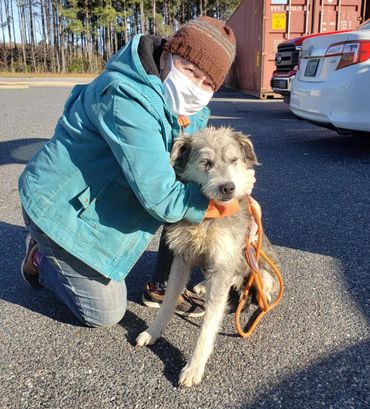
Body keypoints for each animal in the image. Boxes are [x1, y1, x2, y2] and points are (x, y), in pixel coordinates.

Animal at [137, 126, 278, 386]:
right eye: (206, 162)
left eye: (233, 160)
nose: (228, 187)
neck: (208, 217)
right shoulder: (182, 259)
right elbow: (168, 302)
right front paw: (153, 332)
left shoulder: (222, 265)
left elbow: (209, 324)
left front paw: (194, 367)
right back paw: (204, 286)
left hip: (260, 271)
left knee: (260, 287)